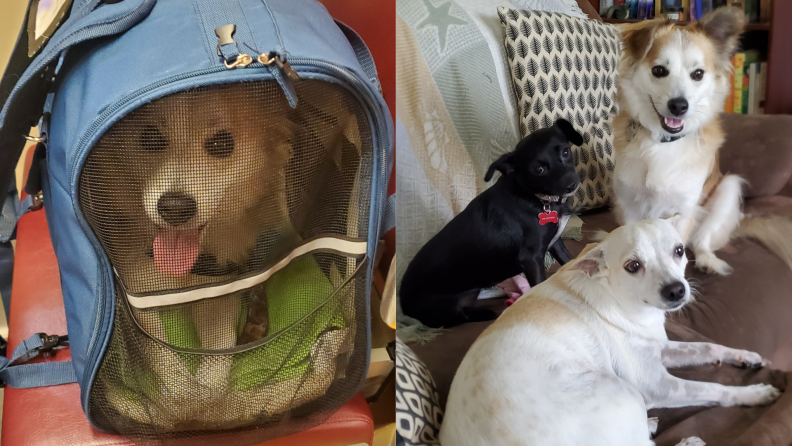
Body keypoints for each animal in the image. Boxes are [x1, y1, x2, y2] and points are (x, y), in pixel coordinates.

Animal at [76, 77, 372, 440]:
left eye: (221, 143)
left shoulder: (219, 292)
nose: (175, 208)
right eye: (149, 138)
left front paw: (208, 401)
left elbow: (219, 353)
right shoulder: (136, 295)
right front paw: (181, 395)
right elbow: (158, 349)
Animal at [402, 118, 580, 328]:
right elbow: (539, 283)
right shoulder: (531, 257)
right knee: (456, 319)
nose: (571, 184)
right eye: (539, 170)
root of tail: (403, 304)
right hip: (445, 308)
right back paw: (484, 314)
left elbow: (570, 260)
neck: (537, 197)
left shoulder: (555, 242)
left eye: (565, 152)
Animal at [442, 219, 784, 446]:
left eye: (679, 251)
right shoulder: (658, 385)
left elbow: (709, 347)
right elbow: (714, 389)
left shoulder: (661, 348)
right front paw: (754, 393)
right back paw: (684, 440)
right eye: (633, 266)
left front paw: (746, 356)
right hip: (622, 389)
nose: (677, 290)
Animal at [612, 8, 792, 276]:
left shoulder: (684, 209)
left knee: (701, 241)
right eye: (659, 70)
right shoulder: (629, 203)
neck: (662, 142)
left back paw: (709, 261)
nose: (679, 106)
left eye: (698, 74)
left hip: (728, 189)